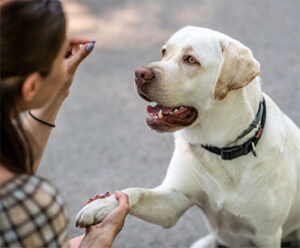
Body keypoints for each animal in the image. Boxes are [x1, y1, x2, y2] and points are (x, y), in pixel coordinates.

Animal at [75, 26, 300, 247]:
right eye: (164, 52)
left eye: (191, 60)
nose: (139, 73)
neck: (221, 149)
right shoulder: (172, 202)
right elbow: (135, 192)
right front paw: (102, 204)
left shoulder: (266, 234)